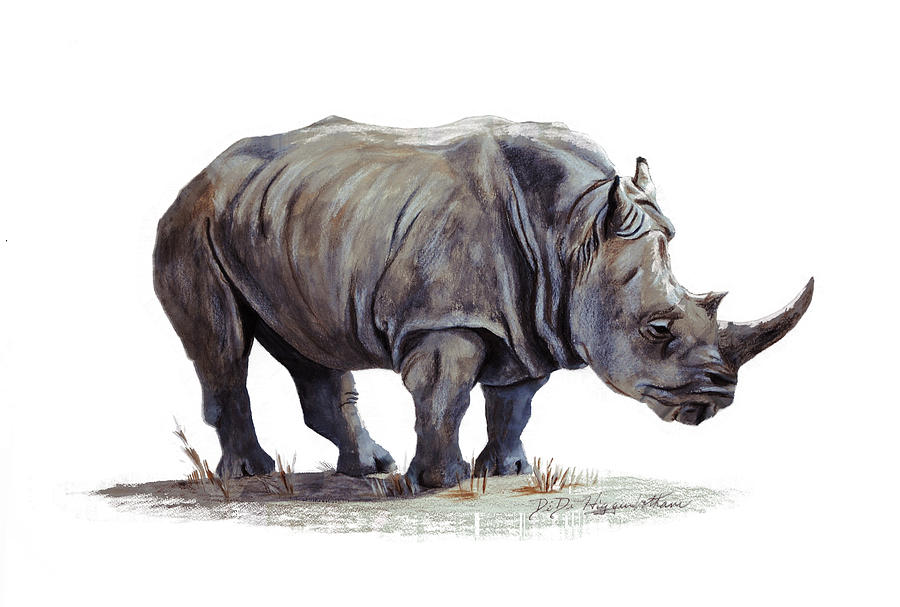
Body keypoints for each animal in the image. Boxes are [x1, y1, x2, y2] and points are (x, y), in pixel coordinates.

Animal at [153, 116, 813, 488]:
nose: (716, 399)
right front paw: (440, 483)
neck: (575, 233)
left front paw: (508, 472)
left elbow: (514, 403)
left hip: (285, 221)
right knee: (223, 347)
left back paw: (370, 468)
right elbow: (444, 393)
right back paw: (252, 475)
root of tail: (200, 173)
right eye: (657, 329)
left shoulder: (533, 317)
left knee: (307, 344)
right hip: (193, 226)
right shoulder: (445, 316)